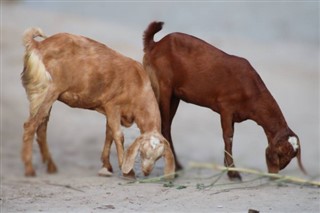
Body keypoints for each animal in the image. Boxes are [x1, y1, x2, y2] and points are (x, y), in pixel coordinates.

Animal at [20, 27, 175, 179]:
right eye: (142, 152)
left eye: (158, 157)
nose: (147, 172)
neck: (139, 85)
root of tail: (38, 45)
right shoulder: (113, 106)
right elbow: (118, 135)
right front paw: (127, 171)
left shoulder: (110, 109)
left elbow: (109, 134)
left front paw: (107, 166)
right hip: (47, 91)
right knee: (30, 125)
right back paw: (29, 169)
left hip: (44, 95)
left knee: (41, 128)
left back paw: (51, 166)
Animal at [143, 21, 308, 180]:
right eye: (280, 154)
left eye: (291, 157)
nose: (273, 174)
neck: (252, 90)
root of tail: (155, 45)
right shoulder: (226, 107)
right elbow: (228, 136)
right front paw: (233, 173)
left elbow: (229, 137)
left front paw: (228, 168)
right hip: (162, 87)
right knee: (163, 125)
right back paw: (173, 168)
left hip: (175, 96)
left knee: (167, 125)